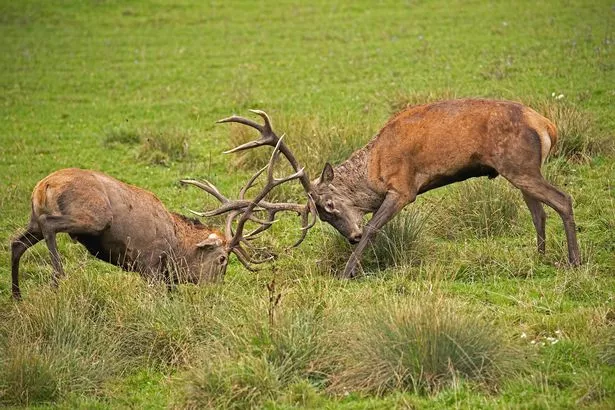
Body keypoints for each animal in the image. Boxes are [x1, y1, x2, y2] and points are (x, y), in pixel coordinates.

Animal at [11, 163, 306, 298]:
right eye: (222, 259)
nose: (216, 289)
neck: (176, 247)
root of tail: (44, 186)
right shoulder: (149, 264)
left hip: (33, 220)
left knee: (16, 243)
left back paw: (17, 295)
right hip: (91, 218)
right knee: (49, 226)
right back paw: (57, 277)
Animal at [215, 102, 584, 278]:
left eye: (329, 206)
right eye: (322, 216)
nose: (350, 237)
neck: (374, 168)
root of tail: (547, 125)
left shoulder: (404, 187)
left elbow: (374, 227)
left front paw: (348, 272)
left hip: (520, 165)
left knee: (563, 199)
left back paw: (574, 262)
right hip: (517, 170)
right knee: (538, 211)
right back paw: (539, 257)